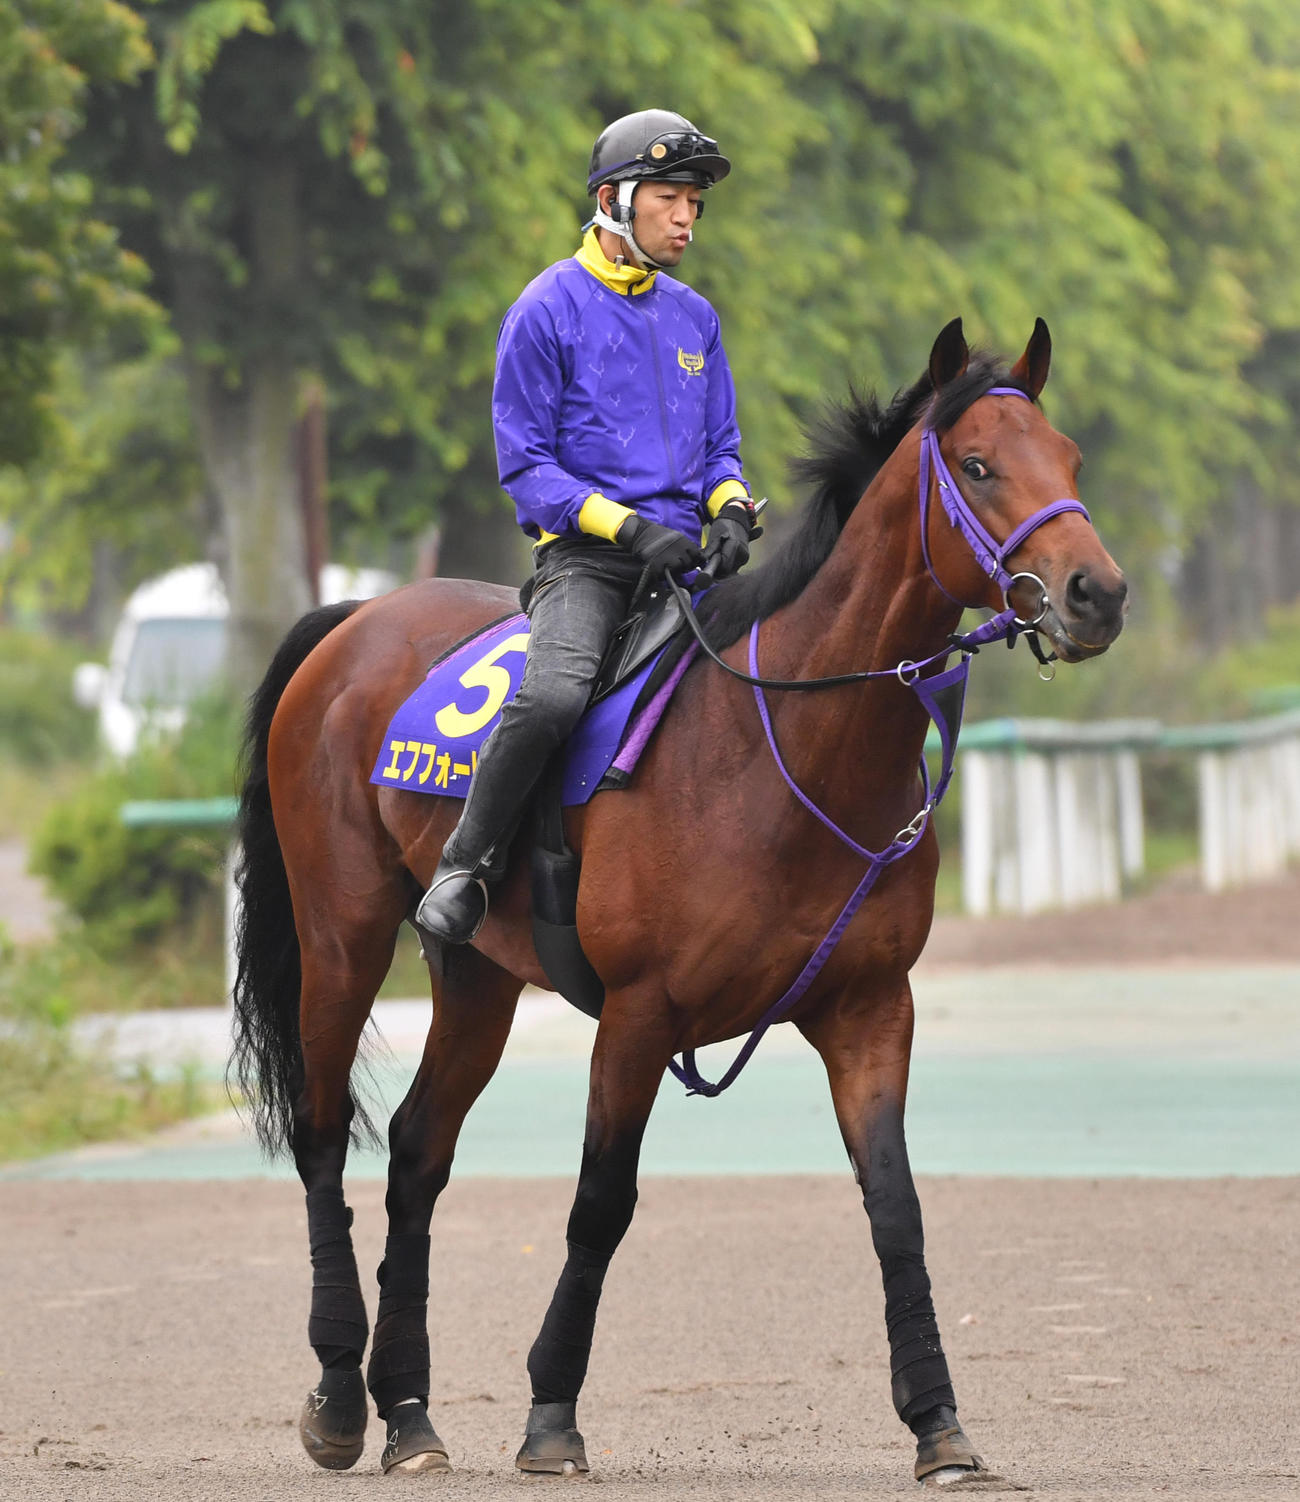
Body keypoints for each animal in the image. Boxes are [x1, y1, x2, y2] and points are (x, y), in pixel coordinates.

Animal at [230, 316, 1127, 1485]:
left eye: (1068, 457)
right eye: (976, 465)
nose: (1098, 592)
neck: (784, 740)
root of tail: (355, 620)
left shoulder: (869, 1006)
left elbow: (896, 1206)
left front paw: (939, 1421)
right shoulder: (639, 1011)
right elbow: (599, 1204)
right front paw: (551, 1416)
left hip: (474, 970)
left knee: (420, 1149)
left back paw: (412, 1416)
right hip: (341, 933)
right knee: (325, 1133)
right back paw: (340, 1396)